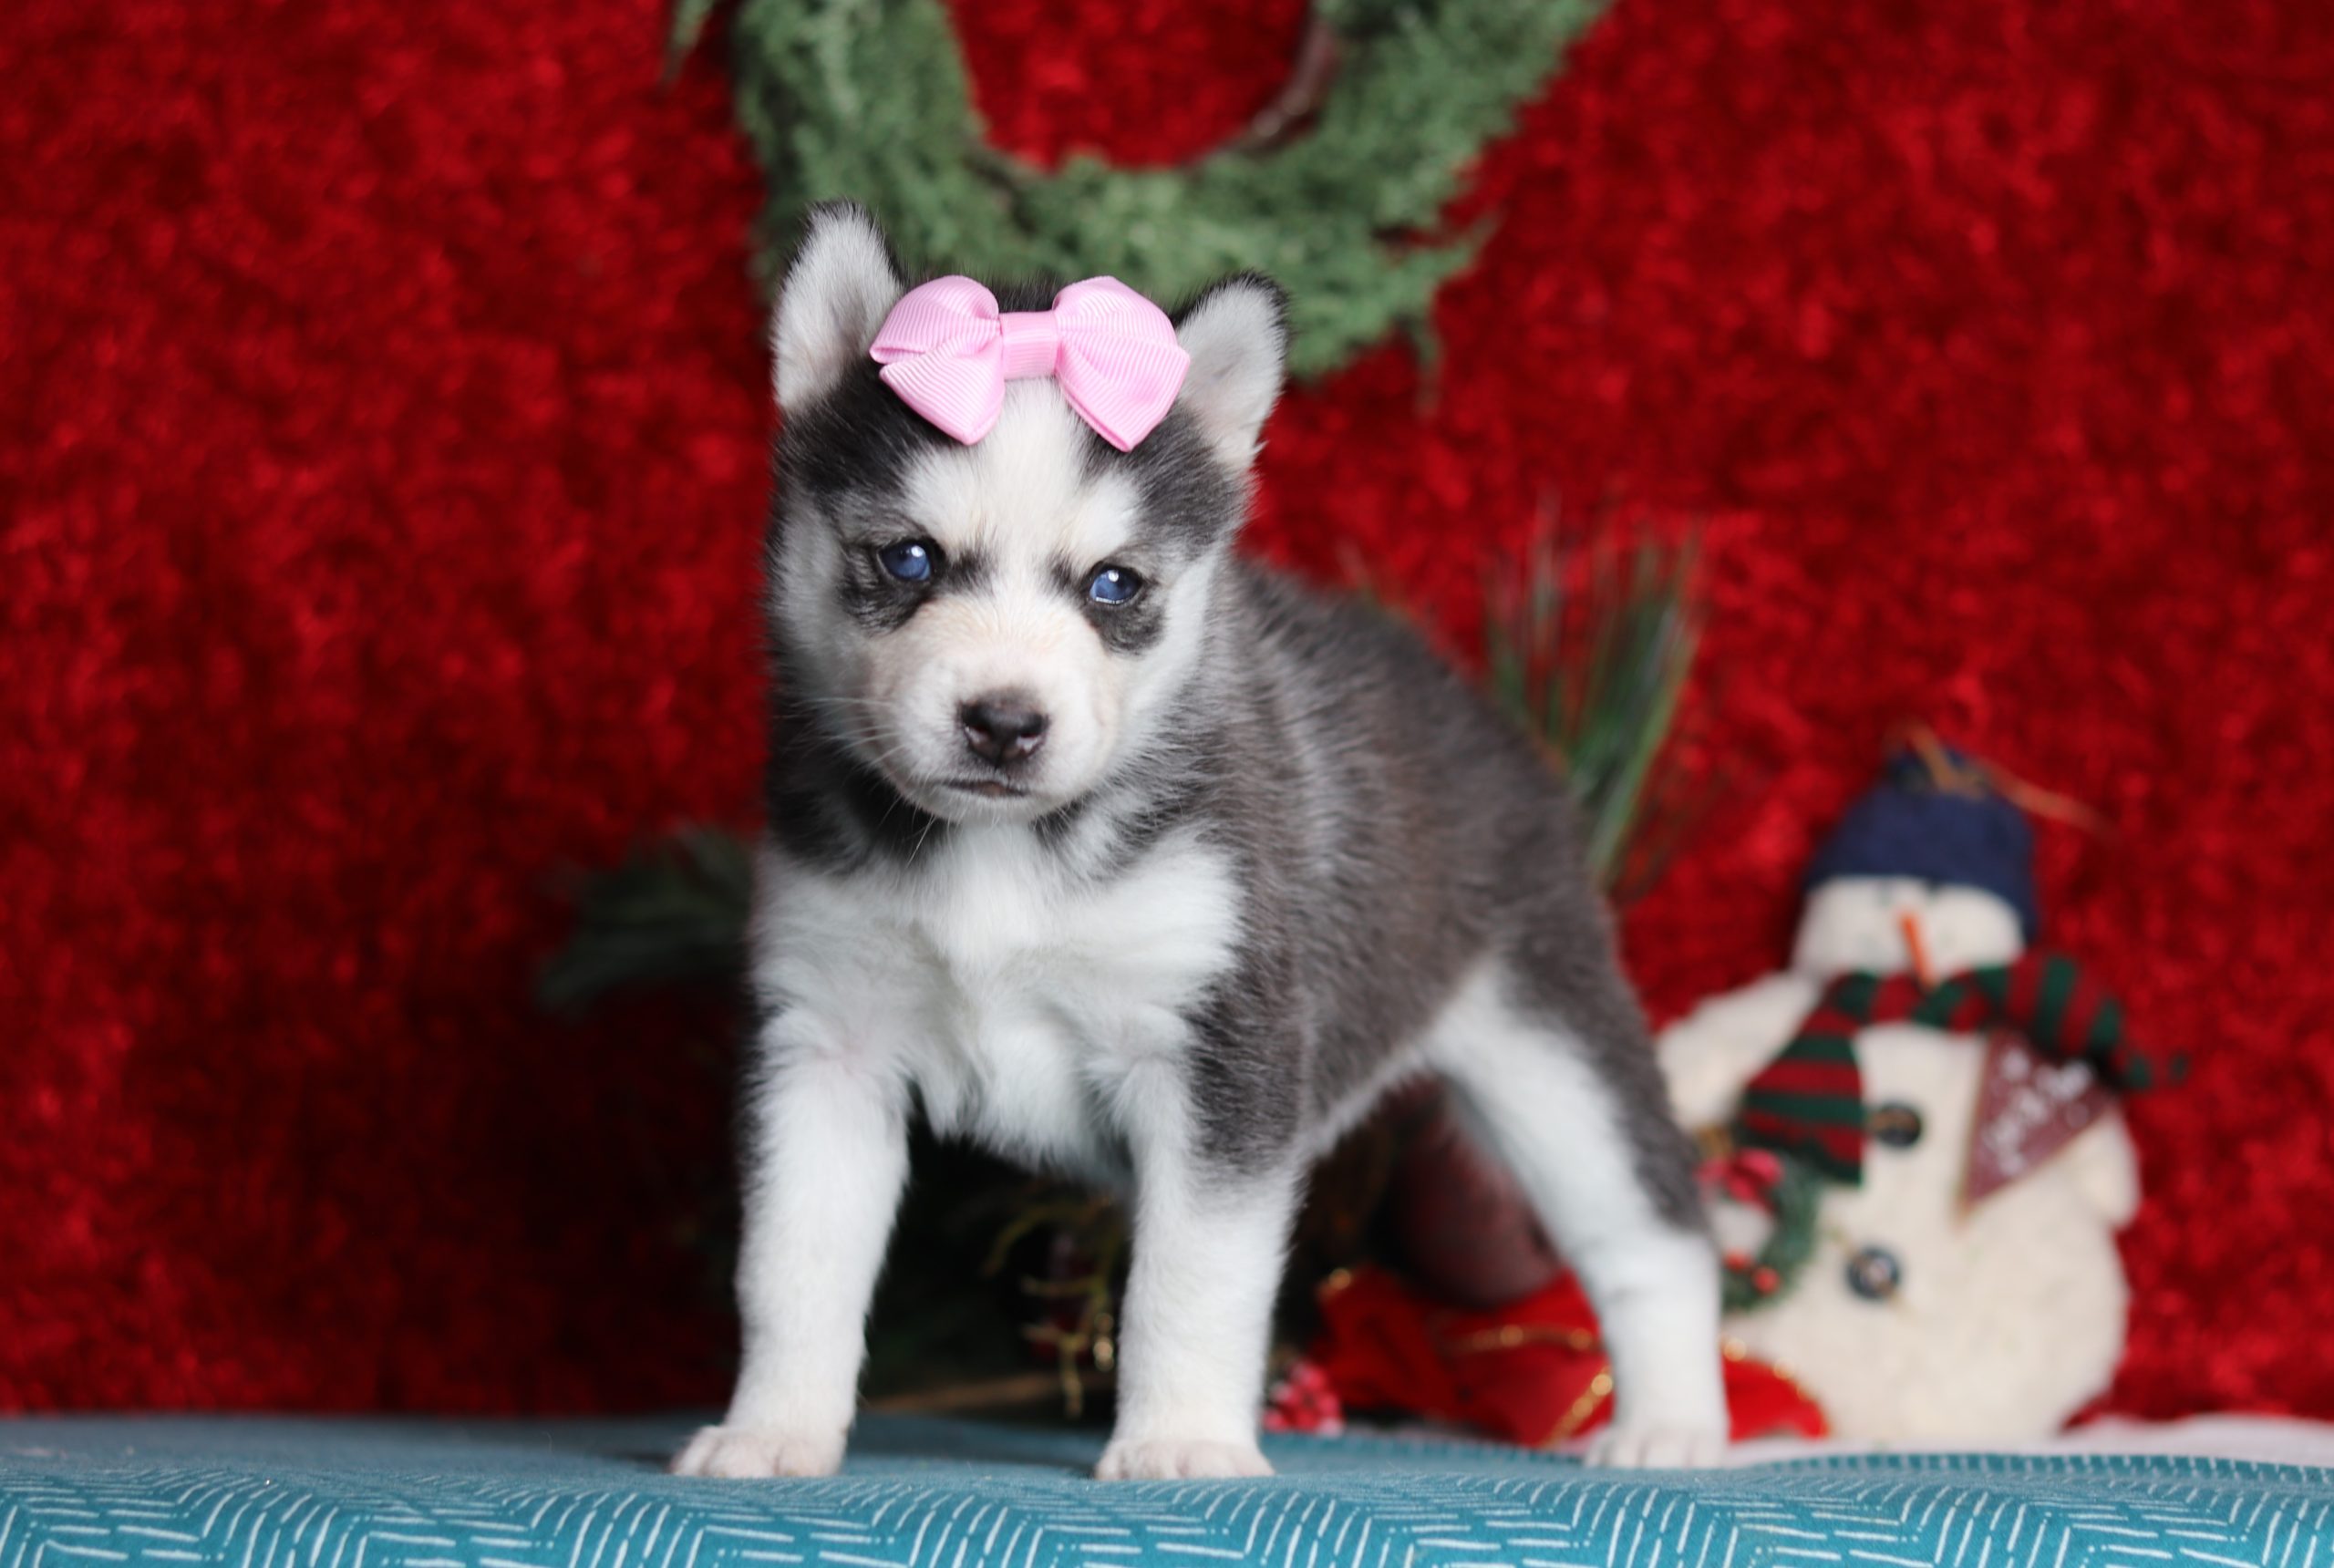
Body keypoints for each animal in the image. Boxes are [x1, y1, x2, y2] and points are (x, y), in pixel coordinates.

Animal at [673, 203, 1726, 1481]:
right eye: (910, 558)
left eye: (1114, 585)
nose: (1005, 722)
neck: (1004, 857)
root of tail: (1475, 709)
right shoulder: (826, 1038)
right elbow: (792, 1266)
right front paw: (772, 1429)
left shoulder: (1223, 1052)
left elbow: (1192, 1277)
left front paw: (1177, 1438)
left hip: (1552, 1043)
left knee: (1652, 1232)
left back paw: (1671, 1419)